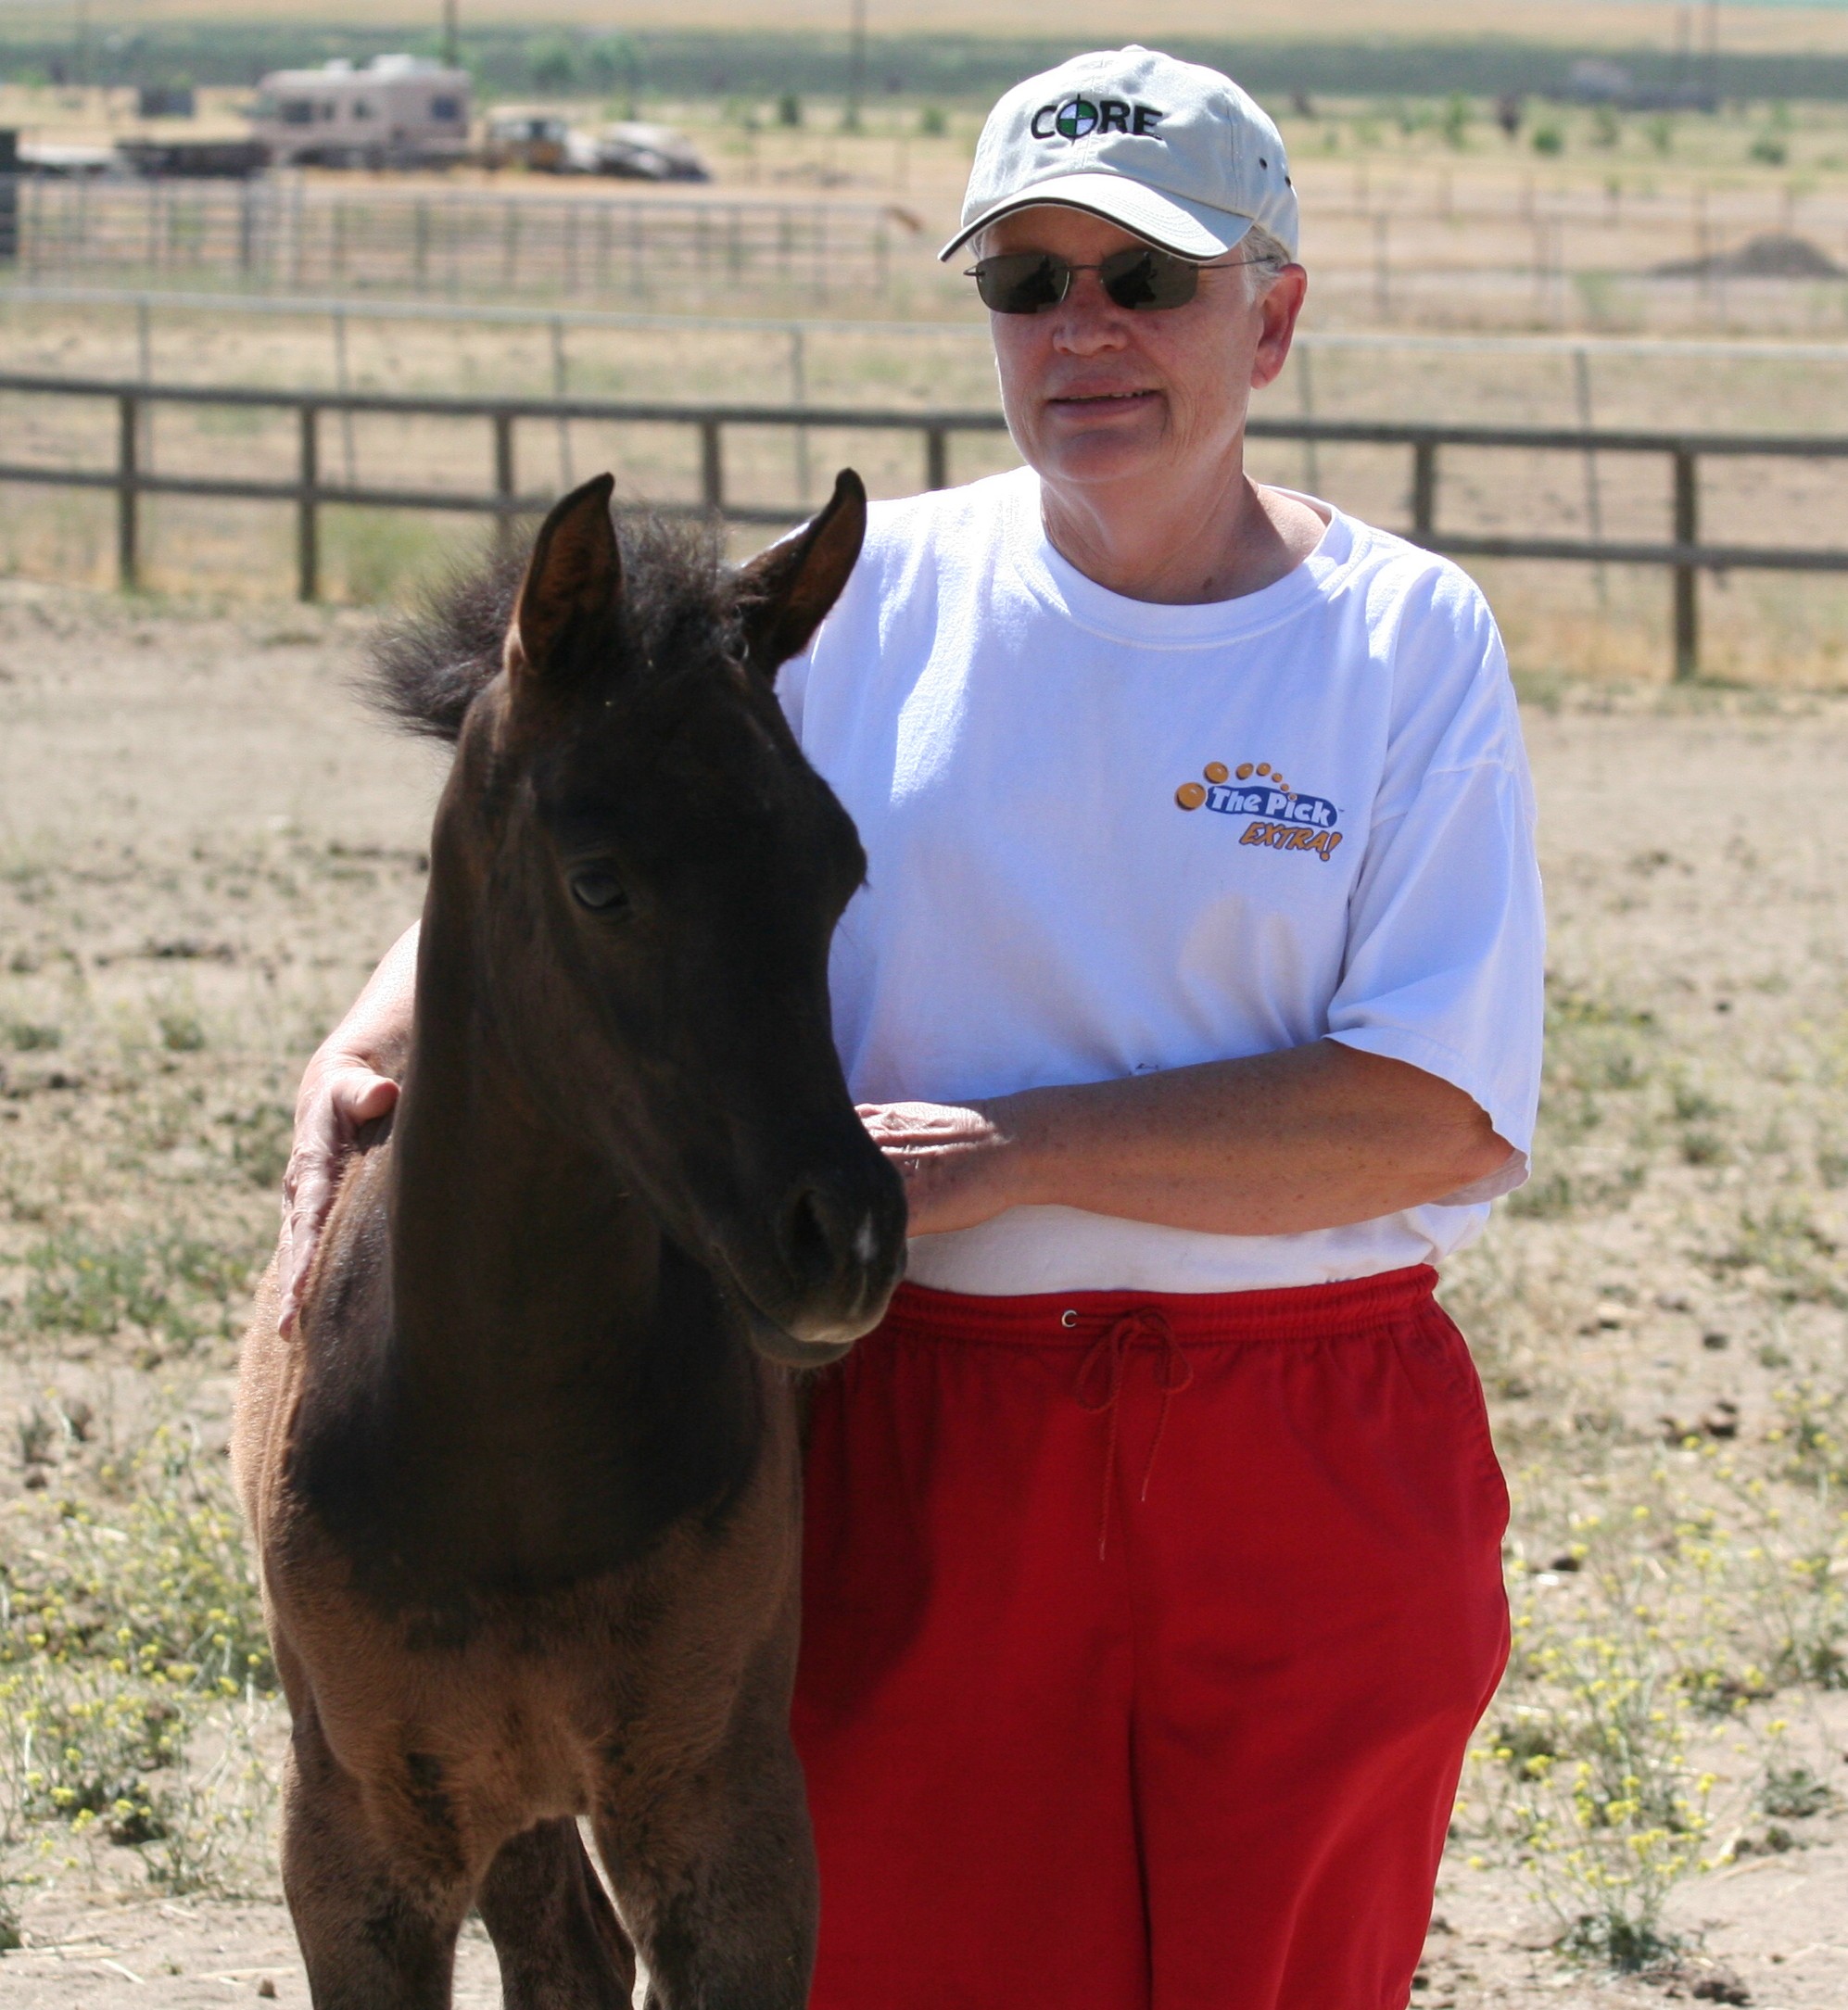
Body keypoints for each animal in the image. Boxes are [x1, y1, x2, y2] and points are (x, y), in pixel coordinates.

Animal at [232, 469, 908, 2010]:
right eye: (599, 881)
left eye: (837, 869)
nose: (842, 1236)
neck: (507, 1453)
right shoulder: (356, 1850)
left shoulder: (726, 1821)